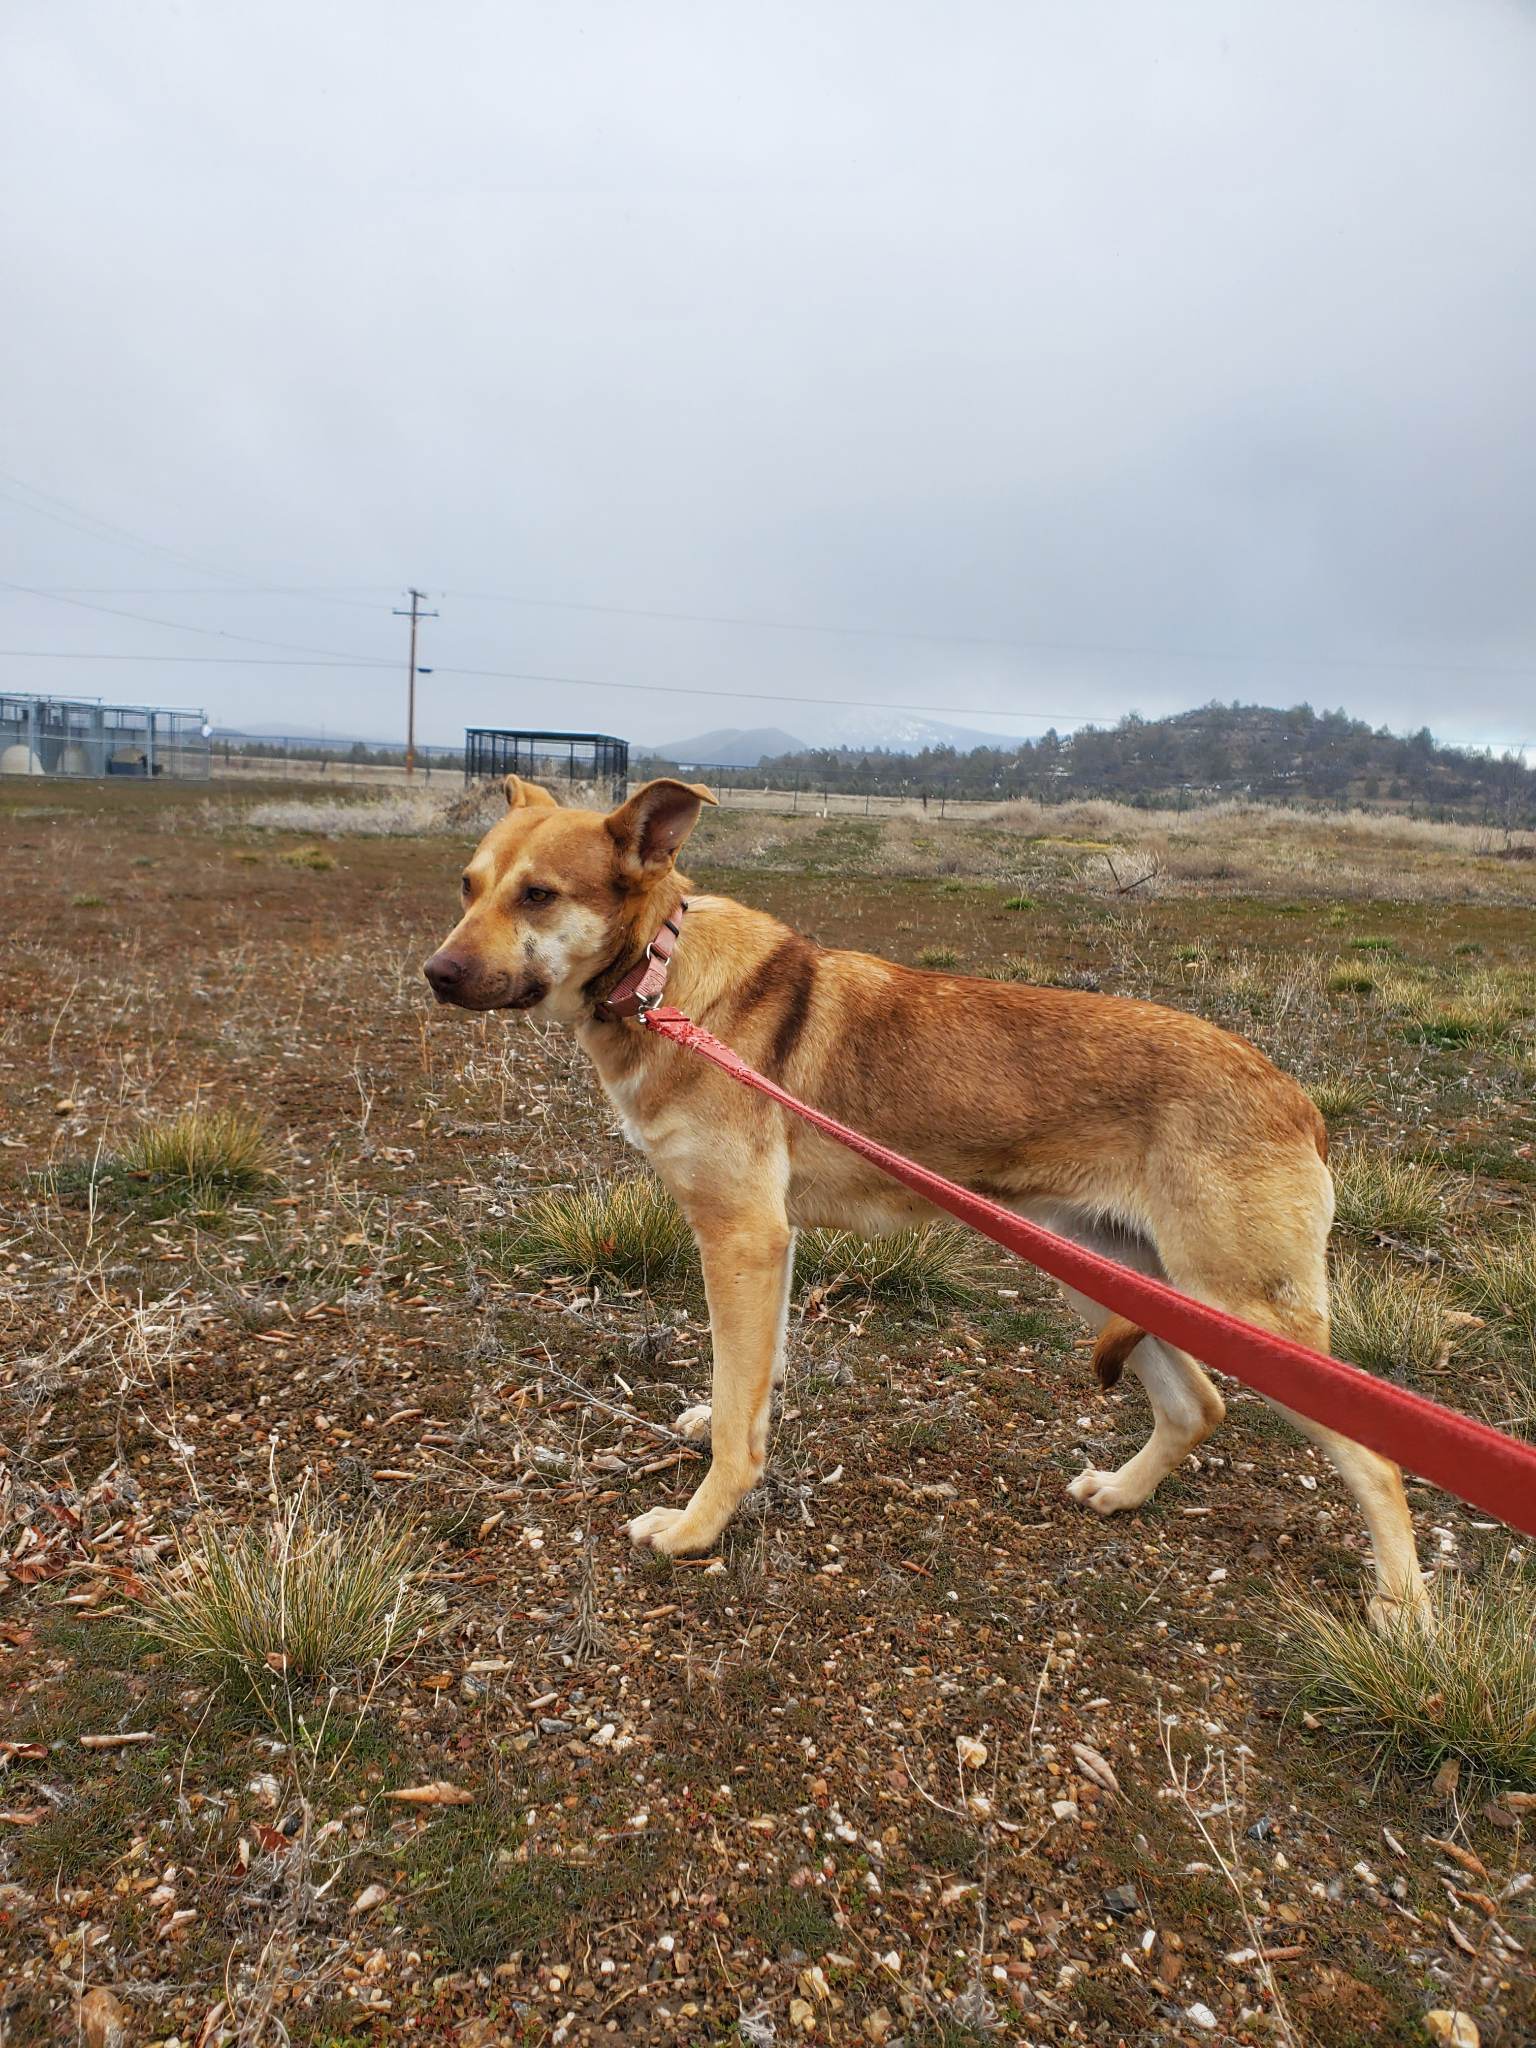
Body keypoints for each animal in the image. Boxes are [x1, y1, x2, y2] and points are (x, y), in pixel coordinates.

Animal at [423, 774, 1433, 1622]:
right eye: (466, 886)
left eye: (539, 895)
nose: (436, 974)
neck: (662, 980)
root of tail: (1296, 1099)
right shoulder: (768, 1244)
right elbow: (753, 1380)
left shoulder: (741, 1235)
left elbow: (738, 1418)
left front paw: (695, 1528)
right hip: (1103, 1273)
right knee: (1198, 1408)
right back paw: (1122, 1493)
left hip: (1243, 1309)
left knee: (1380, 1459)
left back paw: (1404, 1613)